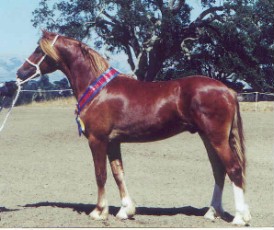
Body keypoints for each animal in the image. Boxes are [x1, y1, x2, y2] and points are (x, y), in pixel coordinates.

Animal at [15, 30, 250, 225]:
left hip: (216, 137)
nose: (19, 73)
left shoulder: (97, 140)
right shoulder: (113, 142)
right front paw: (125, 211)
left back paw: (240, 217)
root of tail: (228, 91)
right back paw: (212, 212)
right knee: (219, 170)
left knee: (233, 169)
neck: (98, 89)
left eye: (38, 50)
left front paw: (99, 212)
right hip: (207, 137)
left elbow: (100, 174)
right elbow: (118, 173)